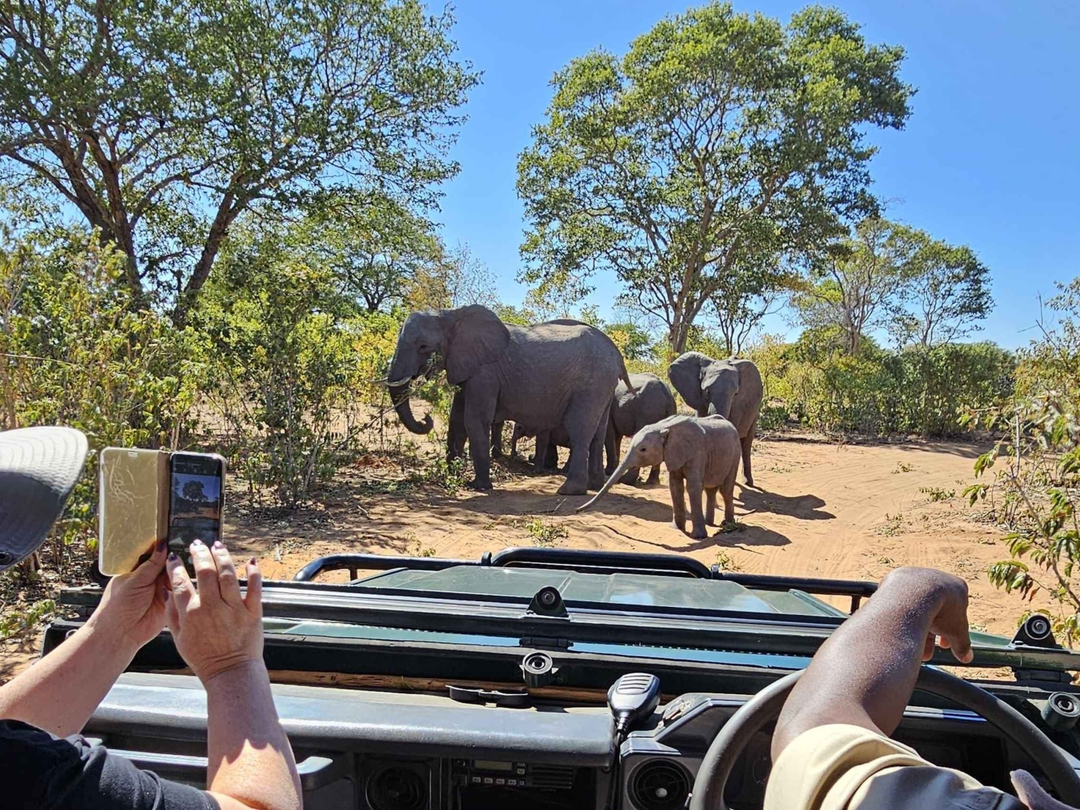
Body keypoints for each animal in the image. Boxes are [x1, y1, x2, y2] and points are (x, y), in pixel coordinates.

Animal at [387, 305, 632, 494]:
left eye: (423, 346)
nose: (426, 418)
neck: (450, 314)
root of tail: (618, 355)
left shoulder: (485, 373)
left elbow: (474, 419)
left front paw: (479, 486)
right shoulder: (467, 368)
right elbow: (456, 419)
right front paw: (452, 474)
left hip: (591, 385)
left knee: (580, 429)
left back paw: (569, 490)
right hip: (603, 386)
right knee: (598, 433)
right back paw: (594, 486)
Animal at [578, 414, 741, 540]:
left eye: (643, 449)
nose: (578, 510)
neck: (664, 427)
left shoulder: (697, 453)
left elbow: (693, 487)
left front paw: (698, 537)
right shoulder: (674, 454)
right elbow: (675, 486)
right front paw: (676, 528)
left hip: (735, 455)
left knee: (725, 490)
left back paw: (728, 525)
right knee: (710, 489)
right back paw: (710, 522)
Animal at [667, 352, 763, 487]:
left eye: (736, 394)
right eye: (707, 391)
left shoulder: (739, 404)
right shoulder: (699, 400)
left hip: (755, 411)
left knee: (746, 443)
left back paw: (748, 482)